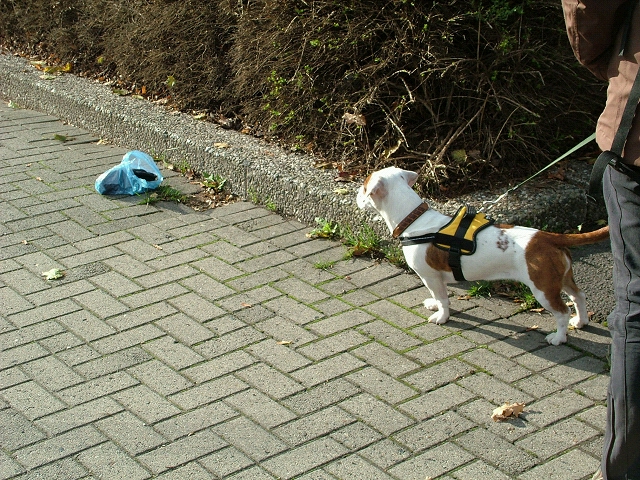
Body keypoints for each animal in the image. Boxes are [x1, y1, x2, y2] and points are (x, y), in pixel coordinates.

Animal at [357, 167, 610, 345]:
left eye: (364, 187)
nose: (357, 192)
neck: (414, 219)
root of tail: (548, 237)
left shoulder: (430, 276)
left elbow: (443, 299)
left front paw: (442, 316)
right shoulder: (434, 279)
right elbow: (437, 296)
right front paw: (433, 305)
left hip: (543, 289)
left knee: (562, 312)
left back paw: (558, 337)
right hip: (561, 278)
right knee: (579, 296)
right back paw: (581, 321)